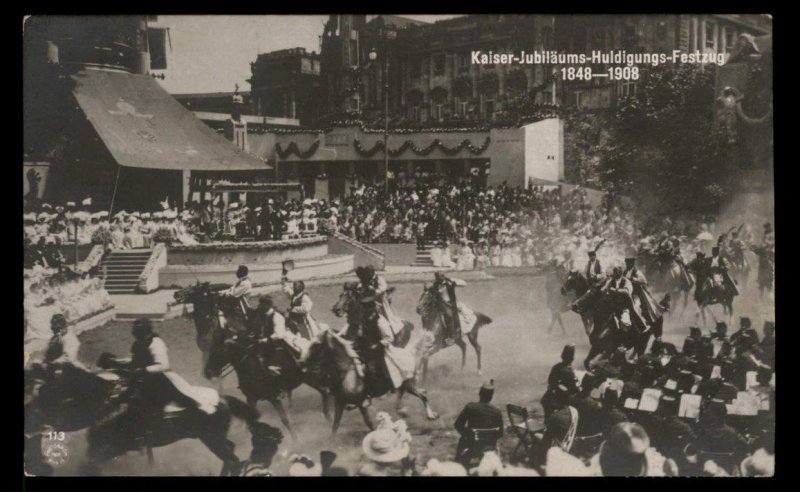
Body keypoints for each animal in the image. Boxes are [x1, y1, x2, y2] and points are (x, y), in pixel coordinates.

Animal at [25, 358, 268, 476]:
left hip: (212, 440)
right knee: (231, 453)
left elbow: (89, 464)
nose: (32, 420)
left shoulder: (116, 447)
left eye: (50, 393)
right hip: (213, 439)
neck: (114, 400)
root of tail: (222, 399)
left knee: (231, 458)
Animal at [322, 284, 440, 434]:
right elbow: (336, 425)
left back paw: (426, 414)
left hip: (405, 380)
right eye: (340, 295)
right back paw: (404, 410)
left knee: (417, 394)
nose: (336, 309)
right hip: (405, 383)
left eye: (348, 297)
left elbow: (367, 421)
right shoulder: (341, 401)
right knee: (412, 392)